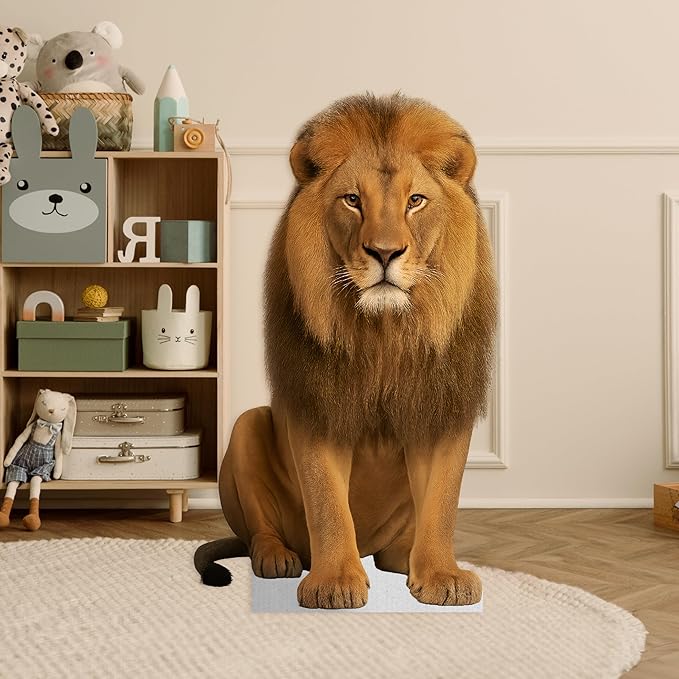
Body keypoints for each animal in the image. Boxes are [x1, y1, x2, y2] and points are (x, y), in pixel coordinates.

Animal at [195, 93, 497, 609]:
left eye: (415, 201)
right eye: (353, 200)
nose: (385, 253)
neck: (385, 333)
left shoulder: (441, 406)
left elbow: (442, 501)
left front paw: (442, 576)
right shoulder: (317, 403)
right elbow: (327, 502)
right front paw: (334, 582)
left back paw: (403, 558)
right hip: (247, 425)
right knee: (259, 531)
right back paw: (277, 558)